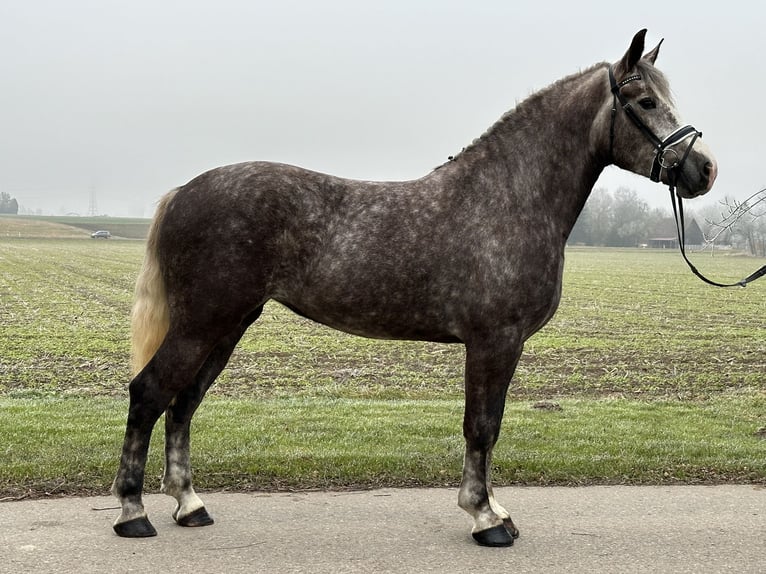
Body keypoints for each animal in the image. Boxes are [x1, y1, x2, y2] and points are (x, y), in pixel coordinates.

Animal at [114, 30, 720, 548]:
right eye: (645, 101)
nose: (704, 170)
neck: (508, 198)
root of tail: (183, 192)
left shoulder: (500, 344)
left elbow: (490, 425)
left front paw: (495, 511)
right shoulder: (494, 340)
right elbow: (482, 425)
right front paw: (485, 518)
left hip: (229, 324)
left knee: (183, 403)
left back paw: (190, 505)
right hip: (203, 323)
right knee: (149, 394)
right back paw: (133, 513)